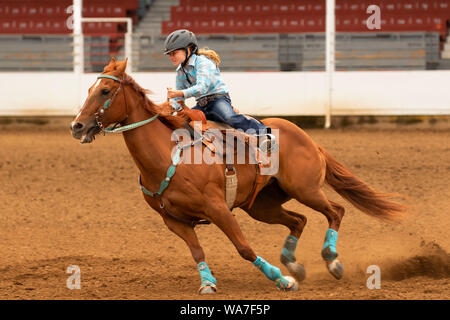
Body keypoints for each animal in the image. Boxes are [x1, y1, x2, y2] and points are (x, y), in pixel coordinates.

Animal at [70, 58, 408, 294]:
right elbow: (197, 251)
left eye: (105, 91)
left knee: (335, 211)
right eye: (88, 90)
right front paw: (208, 283)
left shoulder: (218, 208)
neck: (168, 154)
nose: (77, 126)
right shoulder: (173, 220)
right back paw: (294, 264)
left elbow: (244, 248)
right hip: (261, 205)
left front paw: (281, 281)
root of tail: (306, 137)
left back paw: (331, 259)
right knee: (299, 220)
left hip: (305, 189)